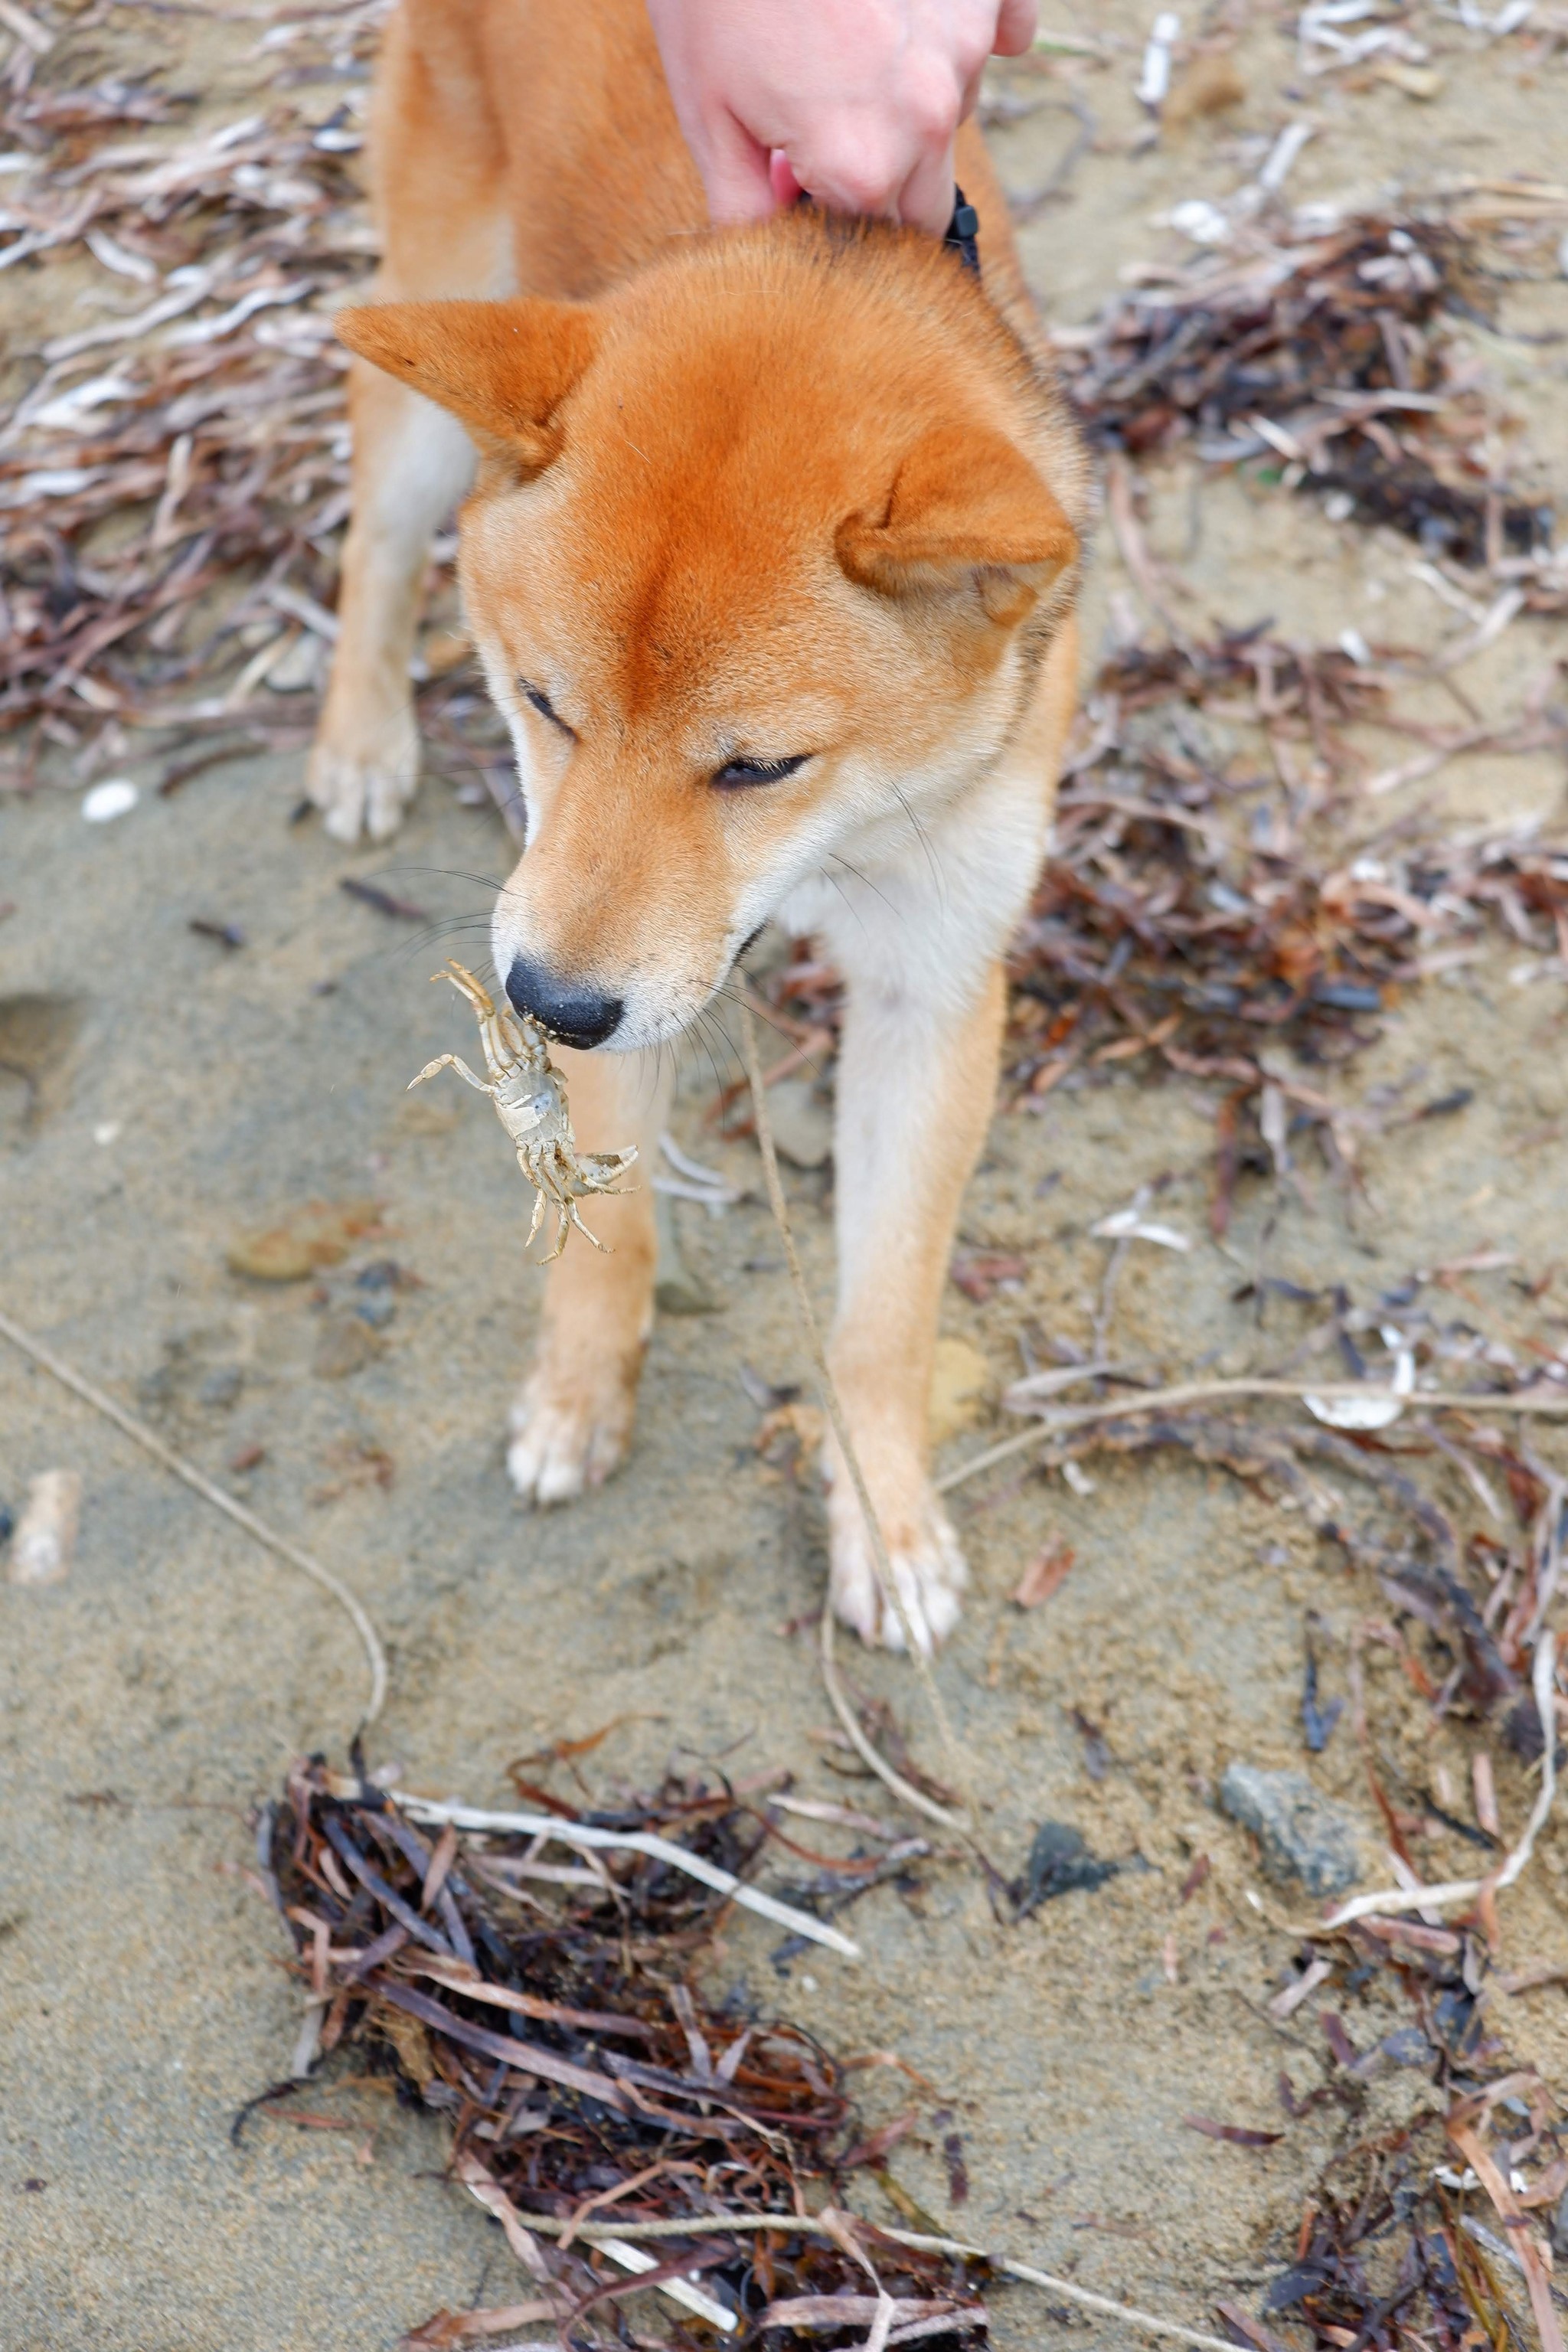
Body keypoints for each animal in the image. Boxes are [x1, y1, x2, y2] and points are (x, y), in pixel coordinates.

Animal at [310, 0, 1086, 1655]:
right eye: (541, 704)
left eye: (758, 767)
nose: (544, 1004)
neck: (838, 847)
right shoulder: (591, 937)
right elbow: (602, 1220)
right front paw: (577, 1387)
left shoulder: (930, 979)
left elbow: (884, 1312)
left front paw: (881, 1513)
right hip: (430, 346)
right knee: (377, 523)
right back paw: (358, 736)